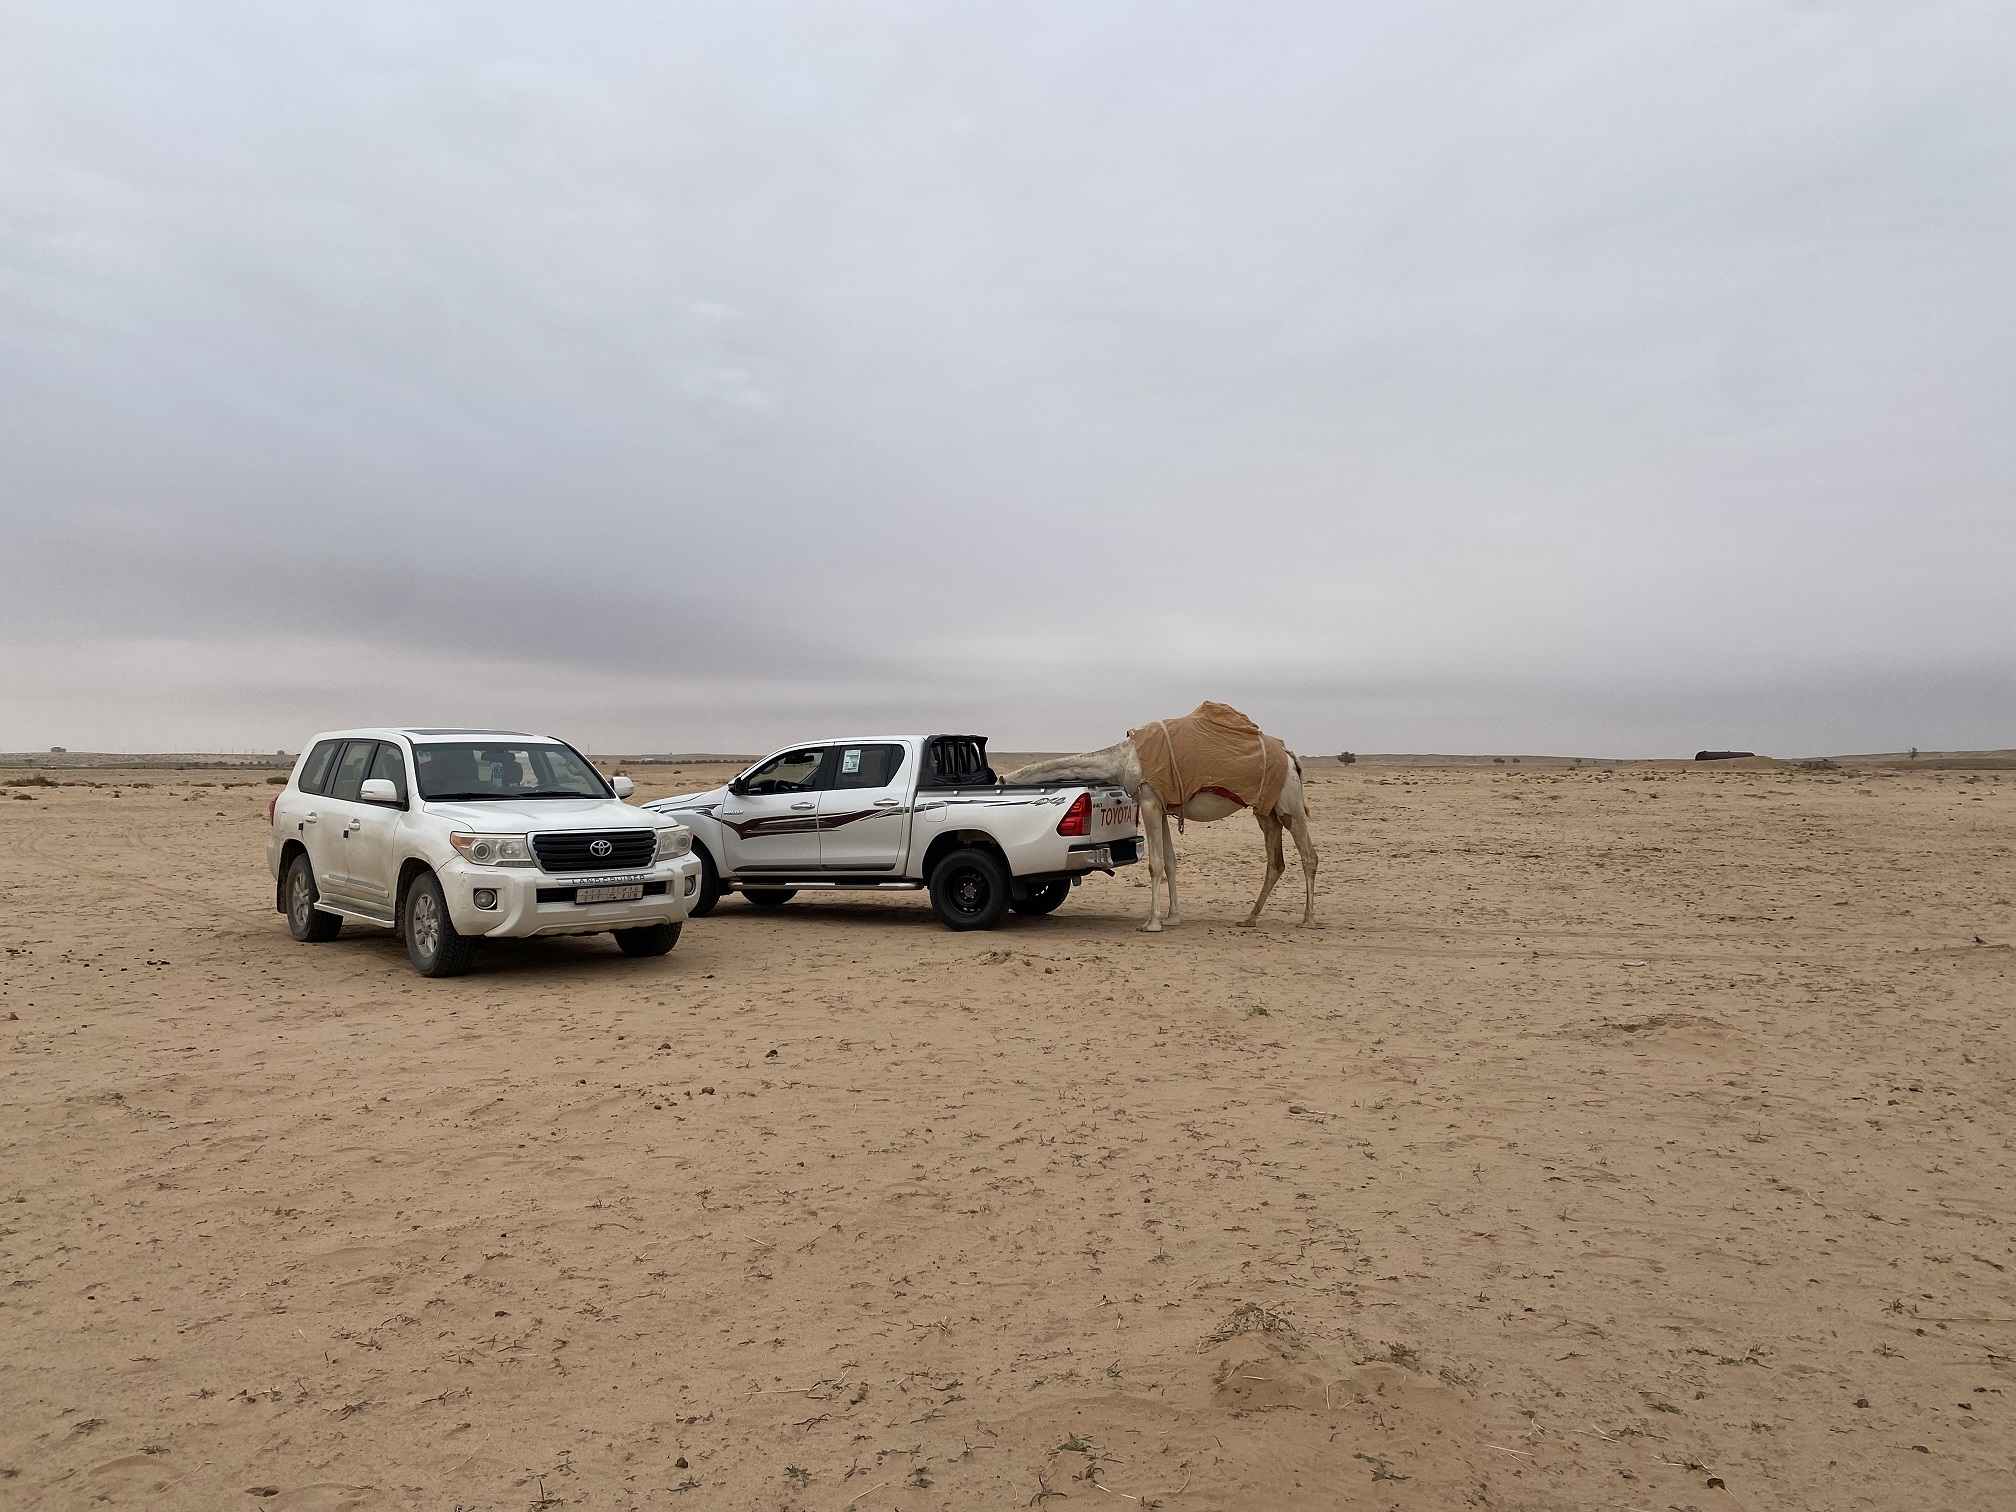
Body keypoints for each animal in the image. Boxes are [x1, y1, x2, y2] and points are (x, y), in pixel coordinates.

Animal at [1008, 709, 1322, 935]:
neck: (1122, 759)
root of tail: (1290, 756)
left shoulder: (1148, 800)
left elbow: (1155, 863)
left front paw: (1152, 923)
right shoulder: (1162, 806)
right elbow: (1170, 862)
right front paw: (1172, 918)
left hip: (1288, 802)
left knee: (1308, 855)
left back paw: (1308, 919)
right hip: (1266, 809)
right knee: (1276, 860)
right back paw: (1250, 918)